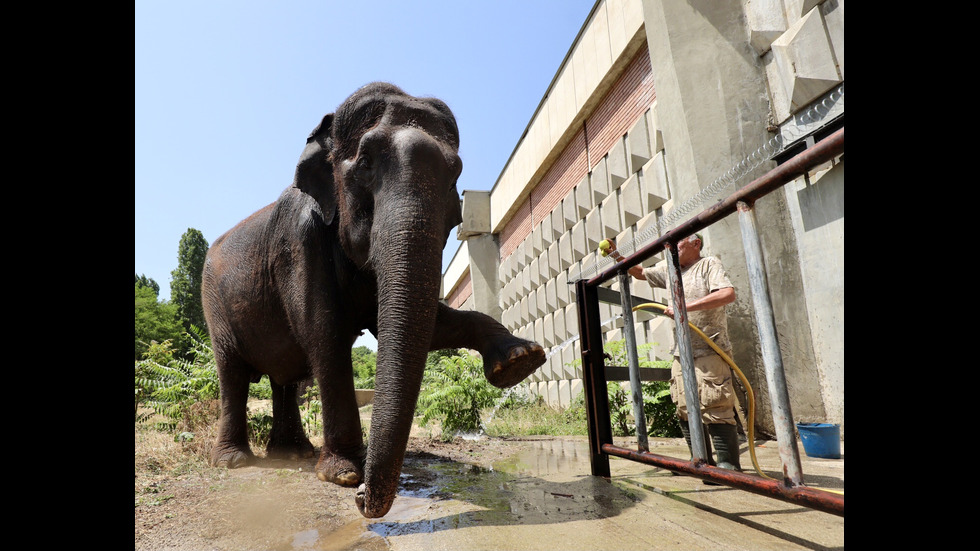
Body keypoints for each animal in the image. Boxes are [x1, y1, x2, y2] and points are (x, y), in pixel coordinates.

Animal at [202, 82, 548, 516]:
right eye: (365, 163)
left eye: (456, 173)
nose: (362, 498)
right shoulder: (298, 244)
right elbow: (324, 333)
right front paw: (344, 474)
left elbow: (426, 325)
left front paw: (520, 360)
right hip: (213, 303)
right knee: (232, 373)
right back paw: (234, 462)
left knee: (286, 380)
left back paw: (294, 454)